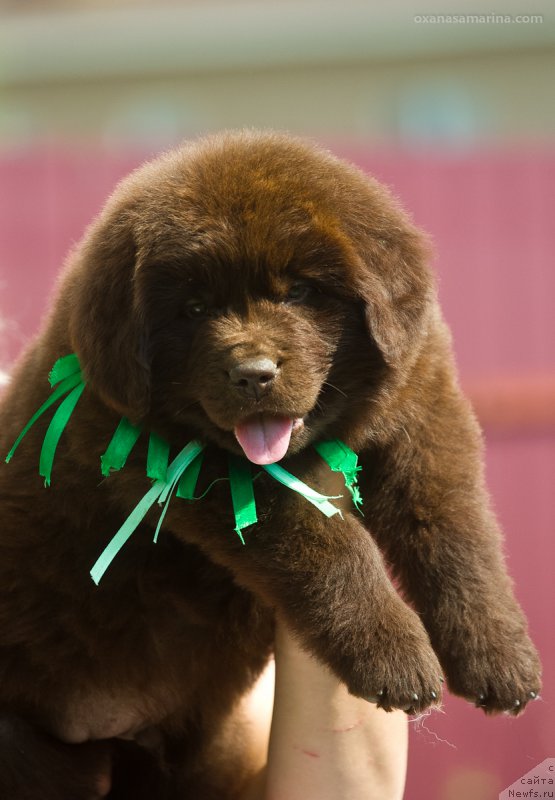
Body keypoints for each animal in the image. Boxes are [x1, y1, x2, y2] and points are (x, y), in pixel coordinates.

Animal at [0, 133, 540, 800]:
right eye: (193, 308)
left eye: (300, 291)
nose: (252, 374)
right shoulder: (180, 466)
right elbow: (331, 543)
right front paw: (393, 654)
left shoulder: (426, 408)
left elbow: (456, 531)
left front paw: (500, 657)